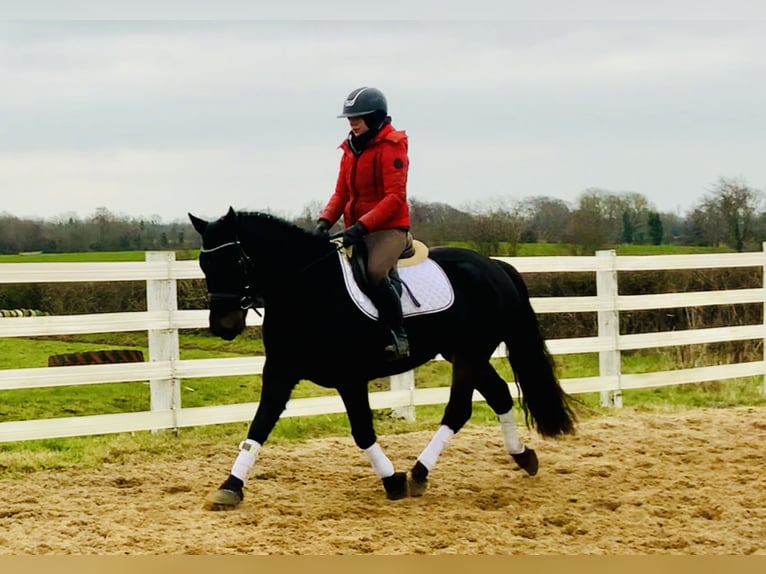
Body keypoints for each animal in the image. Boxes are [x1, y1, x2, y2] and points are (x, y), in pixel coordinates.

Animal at [192, 208, 576, 512]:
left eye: (235, 261)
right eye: (203, 264)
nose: (222, 325)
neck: (308, 290)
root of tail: (494, 265)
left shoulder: (349, 378)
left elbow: (362, 431)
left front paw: (393, 481)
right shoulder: (280, 372)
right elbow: (258, 426)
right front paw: (229, 488)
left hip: (470, 353)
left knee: (459, 410)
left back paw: (419, 473)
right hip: (463, 353)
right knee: (498, 395)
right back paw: (523, 456)